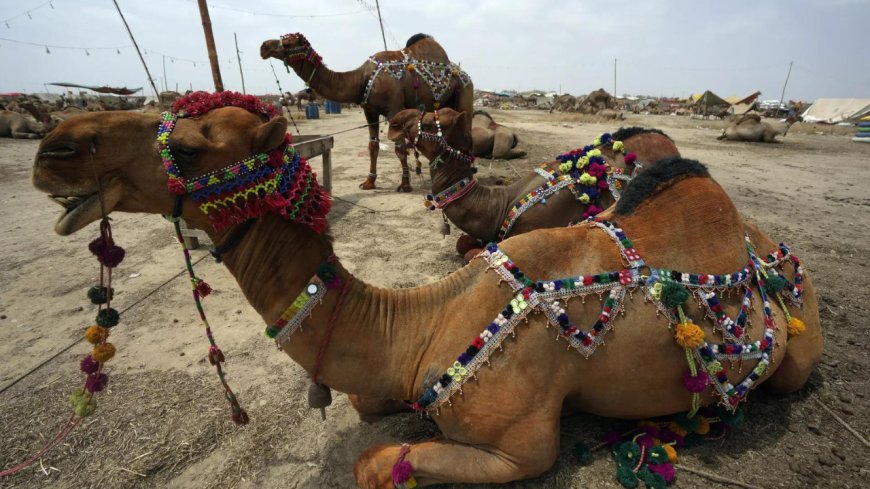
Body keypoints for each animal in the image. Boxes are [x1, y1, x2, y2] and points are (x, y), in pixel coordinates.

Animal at [260, 32, 473, 192]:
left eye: (288, 41)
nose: (264, 46)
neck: (362, 78)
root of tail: (464, 74)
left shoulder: (394, 108)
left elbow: (399, 147)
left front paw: (404, 184)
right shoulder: (369, 111)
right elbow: (373, 146)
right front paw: (369, 182)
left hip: (465, 93)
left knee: (468, 133)